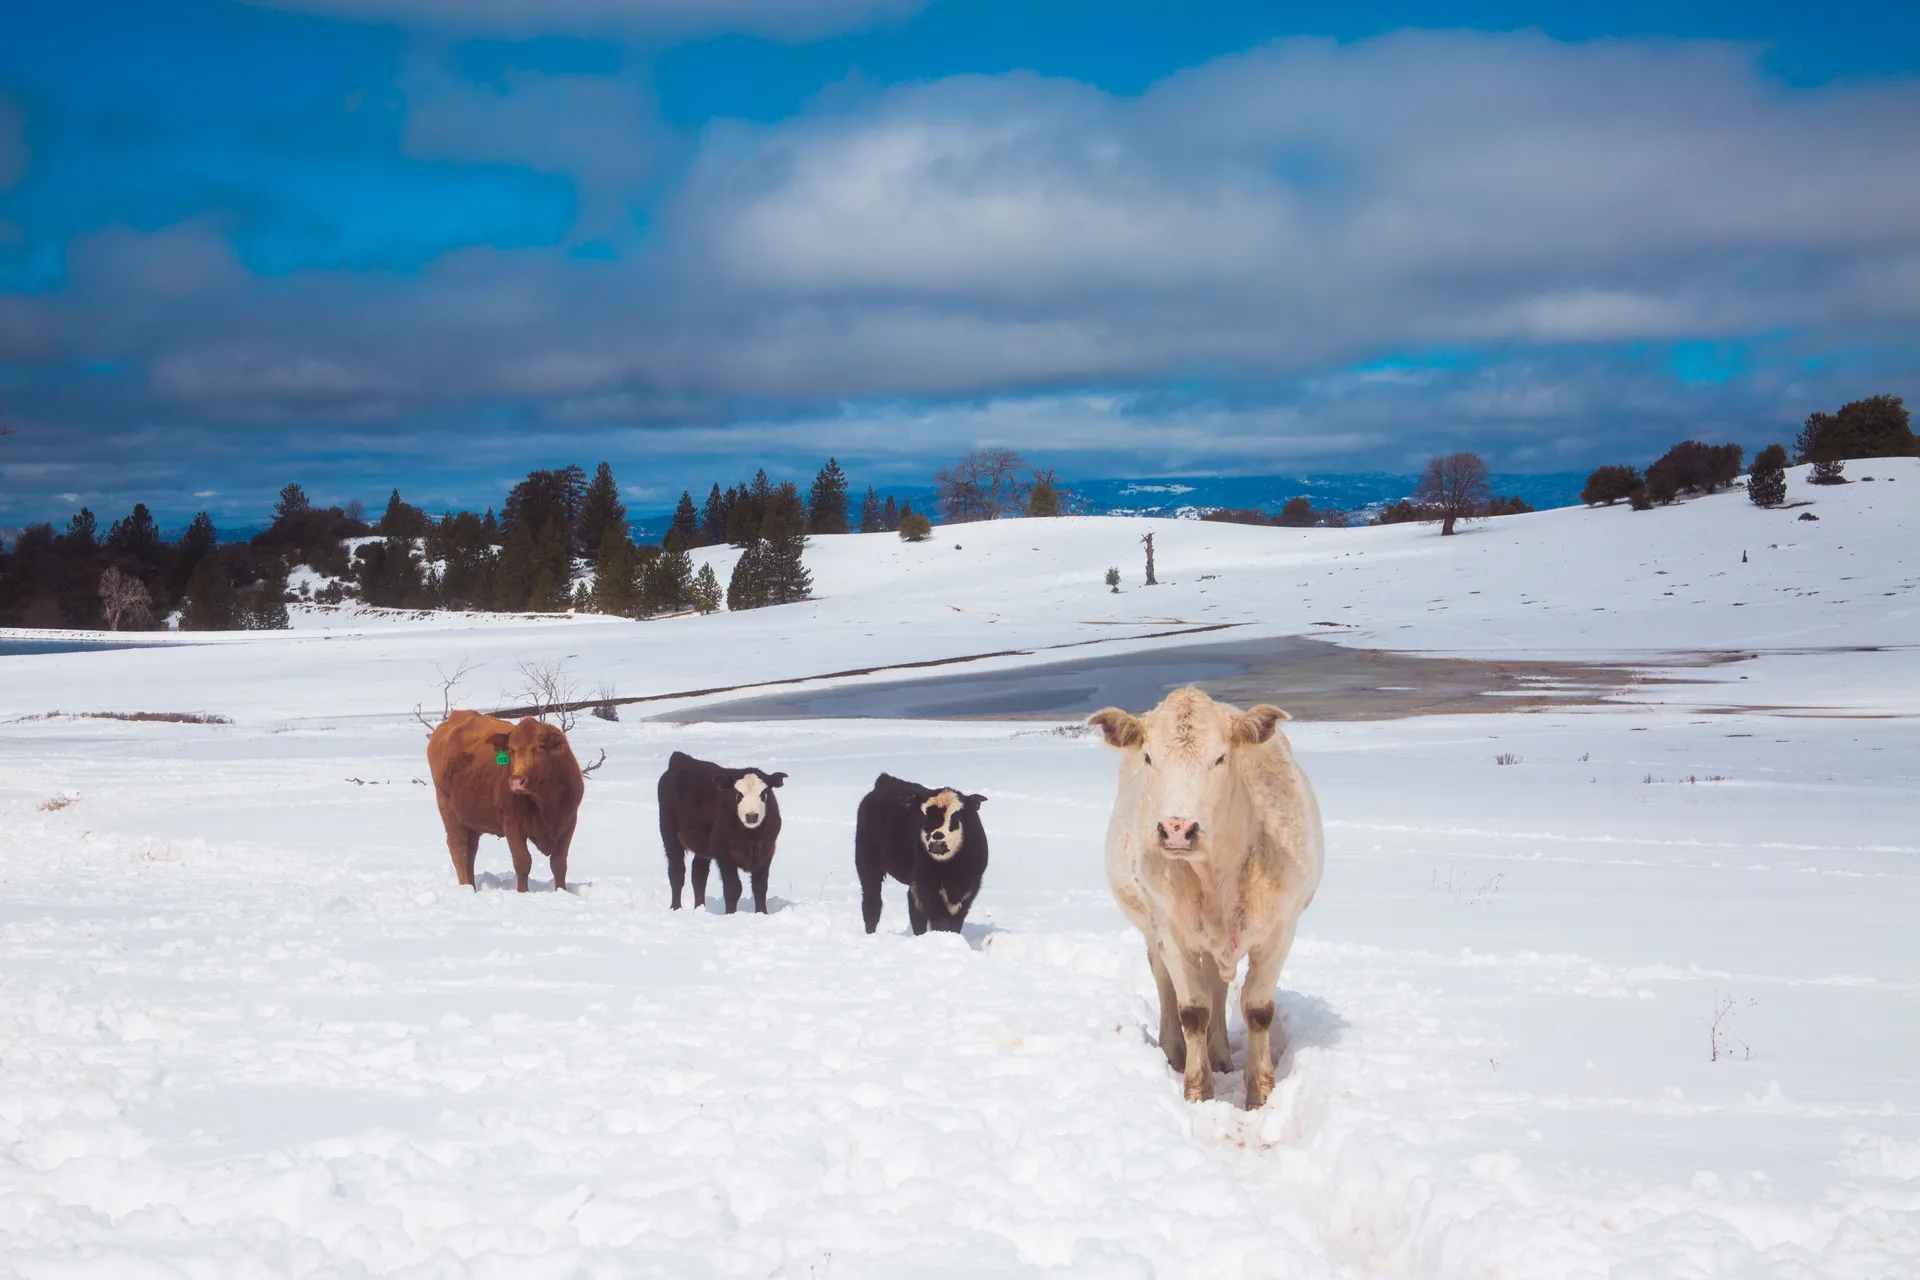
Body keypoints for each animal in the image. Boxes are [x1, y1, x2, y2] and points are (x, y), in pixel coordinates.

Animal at [427, 710, 584, 893]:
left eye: (540, 747)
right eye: (511, 749)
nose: (516, 781)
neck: (547, 801)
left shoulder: (569, 822)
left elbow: (559, 863)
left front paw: (561, 891)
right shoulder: (512, 824)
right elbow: (523, 861)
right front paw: (523, 893)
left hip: (471, 819)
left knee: (470, 852)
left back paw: (472, 886)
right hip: (449, 810)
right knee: (459, 849)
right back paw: (466, 888)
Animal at [657, 750, 787, 913]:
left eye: (763, 793)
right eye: (738, 794)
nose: (751, 816)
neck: (751, 837)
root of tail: (680, 758)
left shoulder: (767, 850)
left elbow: (760, 887)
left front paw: (762, 913)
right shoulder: (724, 852)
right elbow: (733, 888)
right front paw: (731, 914)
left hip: (703, 844)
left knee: (699, 875)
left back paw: (700, 909)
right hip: (669, 833)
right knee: (676, 872)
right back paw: (676, 908)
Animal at [855, 773, 989, 935]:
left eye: (957, 817)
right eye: (924, 817)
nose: (937, 843)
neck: (951, 868)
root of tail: (885, 781)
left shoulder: (971, 885)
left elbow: (956, 921)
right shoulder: (926, 882)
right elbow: (941, 920)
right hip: (867, 863)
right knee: (872, 903)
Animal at [1087, 687, 1324, 1108]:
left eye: (1220, 757)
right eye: (1149, 756)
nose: (1177, 829)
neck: (1217, 878)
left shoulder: (1281, 929)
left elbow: (1258, 1010)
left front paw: (1261, 1093)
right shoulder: (1170, 929)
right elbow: (1193, 1010)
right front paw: (1198, 1091)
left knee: (1218, 983)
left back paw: (1221, 1054)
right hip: (1153, 928)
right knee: (1164, 981)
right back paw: (1174, 1051)